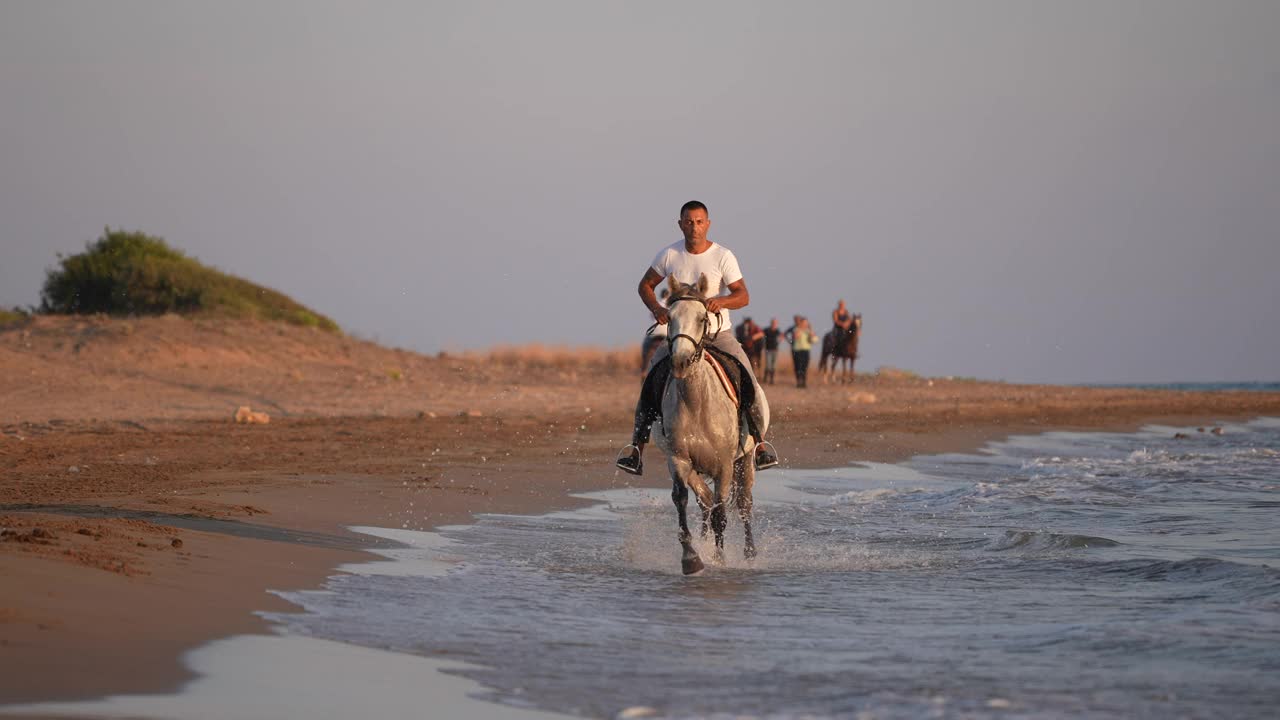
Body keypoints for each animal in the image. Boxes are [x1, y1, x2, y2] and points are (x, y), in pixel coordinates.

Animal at [655, 272, 752, 571]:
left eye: (702, 318)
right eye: (669, 317)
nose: (680, 362)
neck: (697, 402)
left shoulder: (725, 465)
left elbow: (722, 512)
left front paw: (720, 560)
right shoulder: (678, 460)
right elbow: (682, 499)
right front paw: (691, 557)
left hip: (746, 460)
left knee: (744, 504)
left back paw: (750, 553)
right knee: (705, 501)